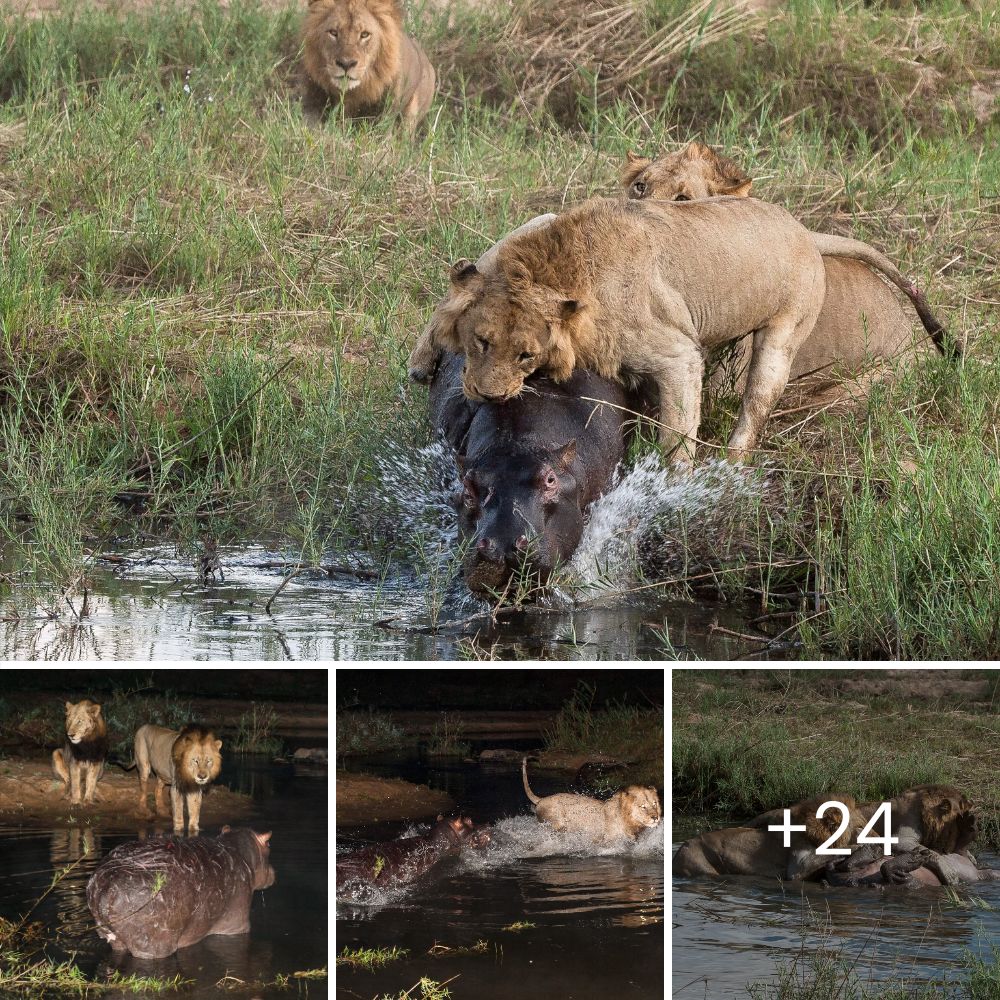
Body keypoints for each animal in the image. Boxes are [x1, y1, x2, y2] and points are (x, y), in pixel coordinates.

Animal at [85, 824, 274, 956]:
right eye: (269, 844)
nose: (273, 872)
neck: (240, 853)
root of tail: (105, 888)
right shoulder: (236, 926)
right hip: (152, 945)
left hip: (113, 937)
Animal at [524, 756, 664, 844]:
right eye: (643, 806)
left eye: (655, 804)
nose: (655, 817)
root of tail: (542, 799)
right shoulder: (608, 840)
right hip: (555, 825)